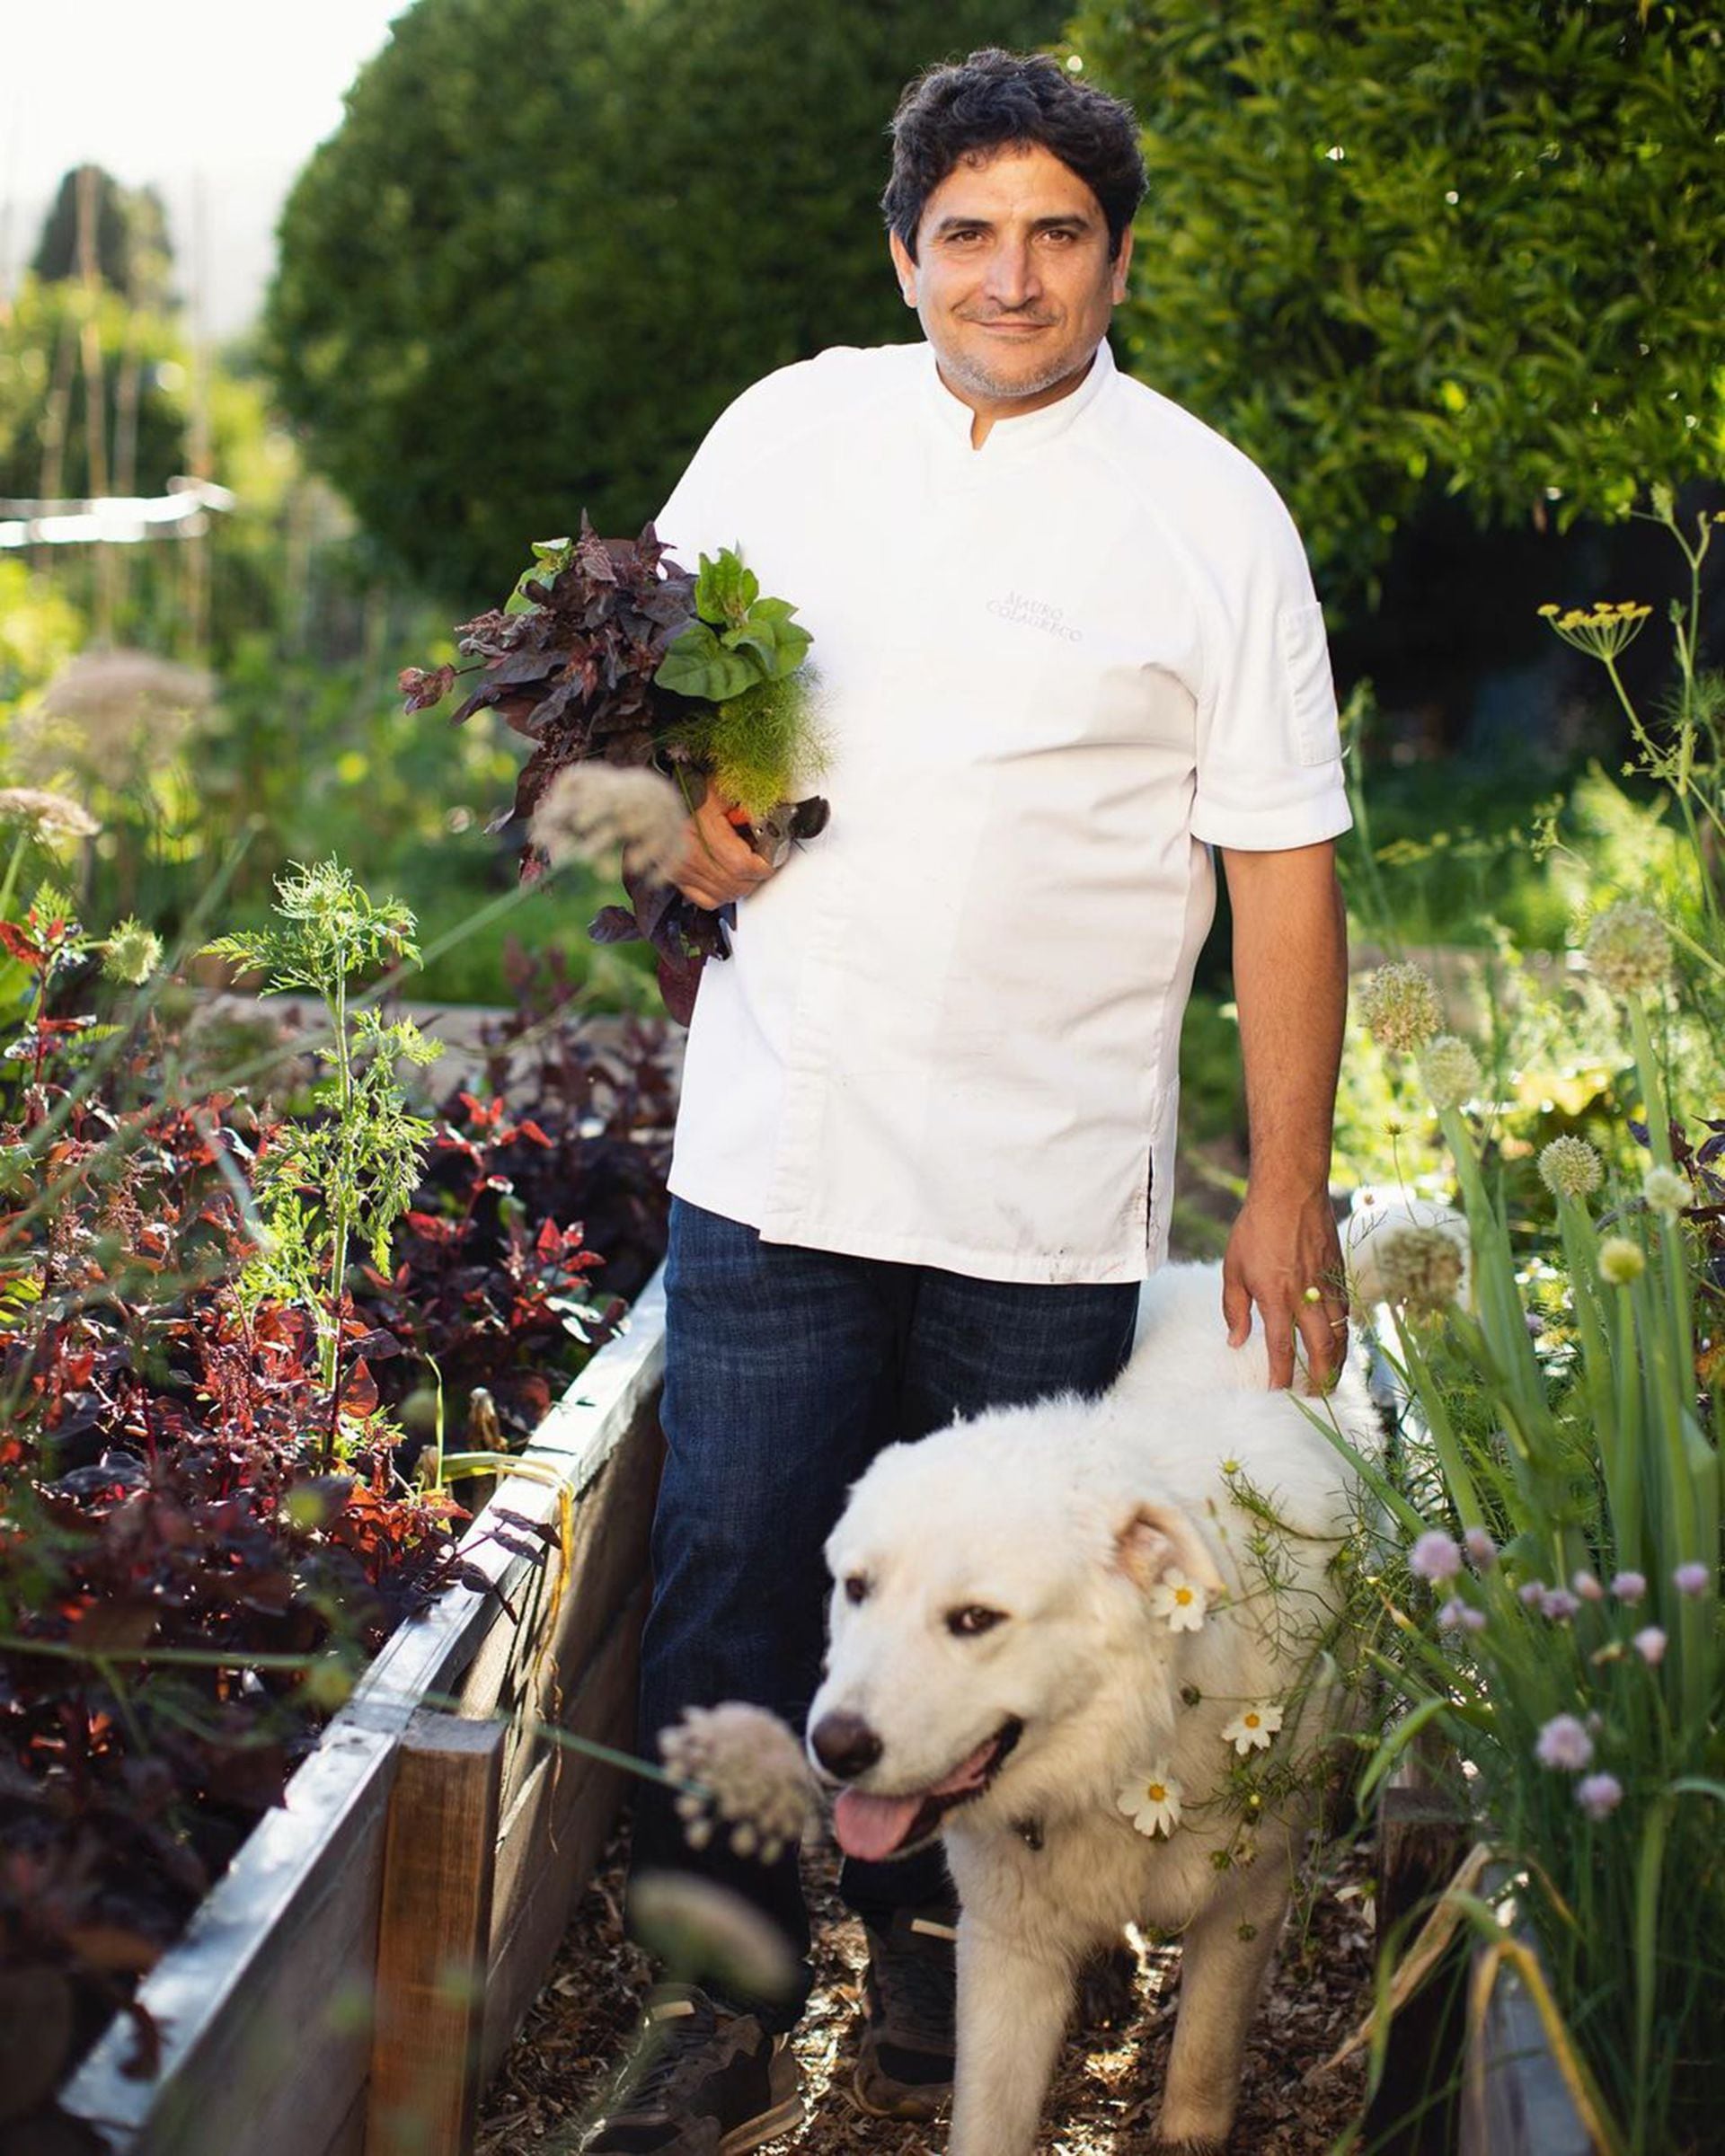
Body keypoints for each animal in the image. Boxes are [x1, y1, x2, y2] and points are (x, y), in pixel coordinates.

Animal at [806, 1259, 1371, 2156]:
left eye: (976, 1620)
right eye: (857, 1589)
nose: (834, 1746)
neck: (1130, 1746)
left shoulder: (1246, 1908)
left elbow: (1201, 2066)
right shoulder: (1003, 1947)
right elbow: (986, 2124)